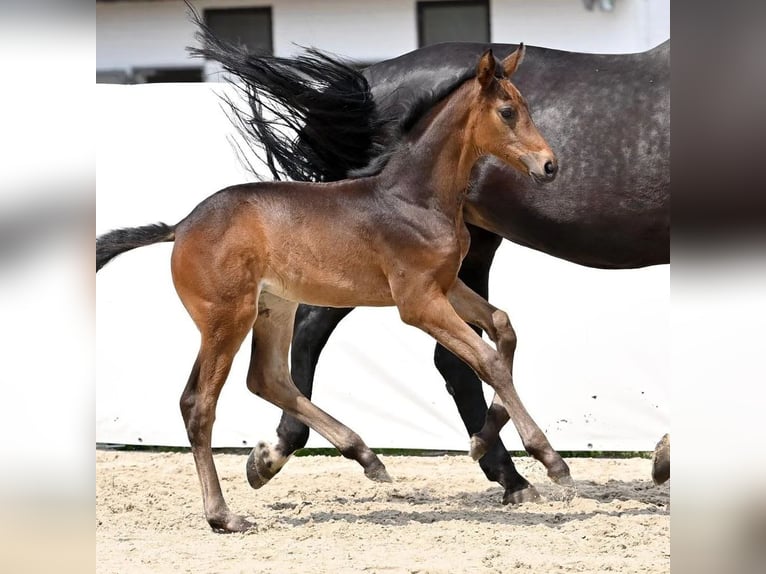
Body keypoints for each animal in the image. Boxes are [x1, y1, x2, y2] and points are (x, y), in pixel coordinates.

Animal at [96, 46, 568, 536]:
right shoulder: (417, 302)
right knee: (199, 404)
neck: (414, 198)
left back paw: (361, 457)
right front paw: (551, 461)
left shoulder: (445, 285)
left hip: (274, 306)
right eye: (508, 111)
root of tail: (182, 226)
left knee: (266, 378)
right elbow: (488, 360)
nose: (549, 165)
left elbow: (503, 328)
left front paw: (479, 441)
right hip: (227, 319)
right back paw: (223, 515)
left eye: (527, 107)